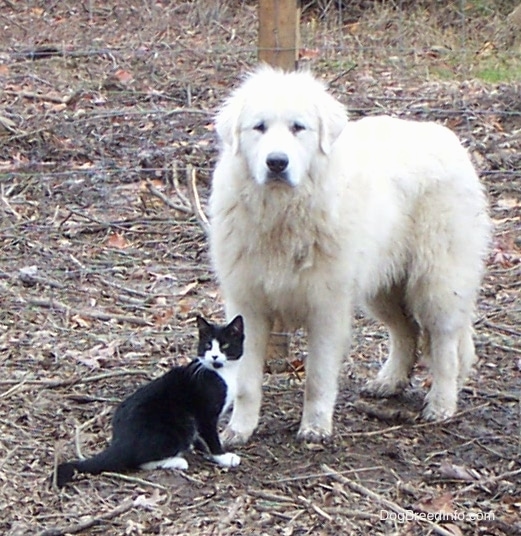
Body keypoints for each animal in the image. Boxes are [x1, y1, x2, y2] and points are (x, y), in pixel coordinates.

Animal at [55, 314, 243, 486]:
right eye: (208, 345)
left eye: (225, 345)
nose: (214, 356)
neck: (221, 372)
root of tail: (120, 440)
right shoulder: (205, 413)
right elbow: (211, 436)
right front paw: (223, 457)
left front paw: (202, 449)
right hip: (179, 424)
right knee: (140, 461)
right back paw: (177, 461)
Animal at [206, 67, 488, 444]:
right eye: (259, 127)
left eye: (298, 127)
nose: (277, 163)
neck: (283, 213)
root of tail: (448, 138)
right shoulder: (249, 306)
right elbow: (246, 384)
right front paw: (238, 430)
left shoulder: (326, 308)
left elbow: (317, 377)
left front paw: (314, 428)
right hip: (383, 287)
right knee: (406, 332)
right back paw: (389, 381)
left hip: (437, 282)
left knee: (444, 344)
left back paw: (441, 404)